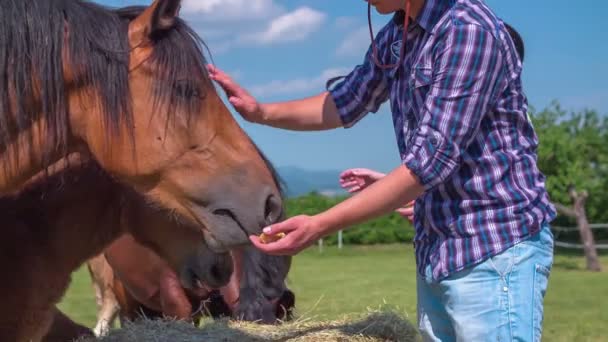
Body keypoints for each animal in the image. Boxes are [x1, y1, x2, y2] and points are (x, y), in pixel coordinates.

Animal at [87, 236, 294, 336]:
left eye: (286, 308)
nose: (288, 294)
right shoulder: (168, 281)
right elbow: (180, 308)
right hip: (121, 289)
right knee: (126, 315)